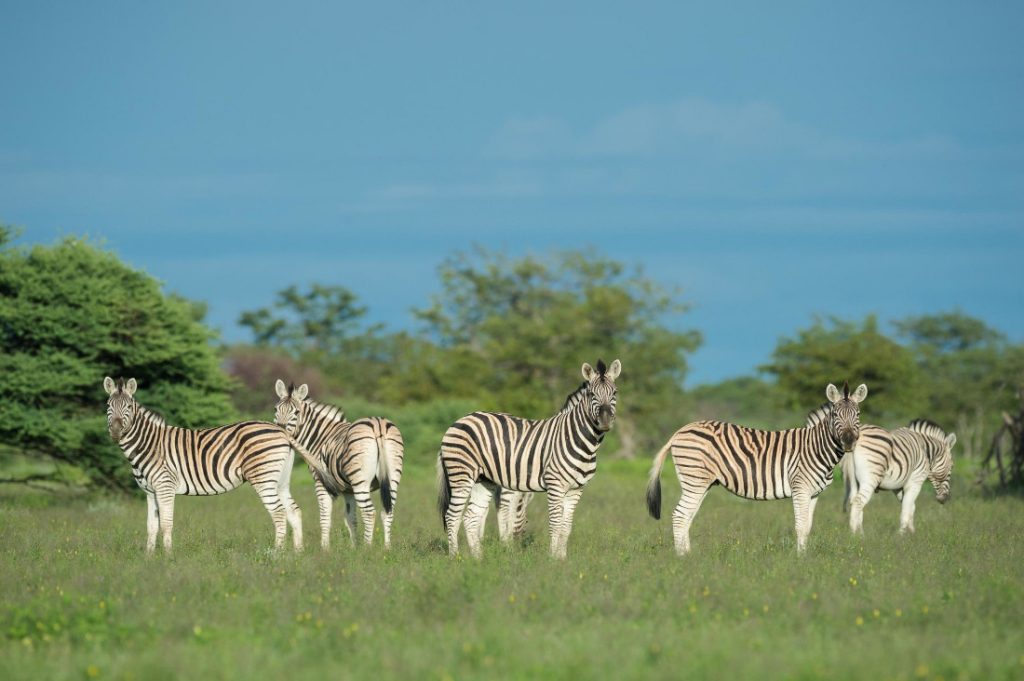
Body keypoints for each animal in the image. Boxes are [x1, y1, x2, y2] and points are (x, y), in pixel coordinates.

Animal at [103, 376, 339, 553]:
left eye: (129, 406)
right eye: (108, 406)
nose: (115, 431)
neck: (150, 444)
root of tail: (282, 431)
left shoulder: (165, 487)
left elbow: (166, 524)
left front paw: (168, 558)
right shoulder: (150, 492)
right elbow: (151, 526)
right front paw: (150, 558)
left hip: (263, 479)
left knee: (279, 513)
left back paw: (277, 556)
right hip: (280, 480)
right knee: (294, 511)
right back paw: (297, 554)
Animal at [273, 380, 405, 550]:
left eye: (296, 412)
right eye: (276, 409)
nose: (280, 430)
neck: (319, 437)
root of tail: (378, 425)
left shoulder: (321, 482)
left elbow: (325, 516)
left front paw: (325, 549)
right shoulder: (348, 490)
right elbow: (350, 518)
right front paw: (354, 547)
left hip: (361, 481)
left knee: (369, 512)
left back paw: (367, 549)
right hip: (393, 478)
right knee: (387, 512)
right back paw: (387, 548)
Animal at [437, 359, 621, 559]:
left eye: (614, 393)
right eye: (591, 393)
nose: (605, 421)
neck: (580, 442)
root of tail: (461, 419)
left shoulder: (576, 489)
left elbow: (566, 526)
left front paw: (562, 560)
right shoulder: (554, 485)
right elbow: (555, 523)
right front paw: (552, 559)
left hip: (483, 479)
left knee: (471, 516)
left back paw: (478, 559)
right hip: (461, 474)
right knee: (452, 516)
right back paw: (455, 558)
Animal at [646, 381, 868, 554]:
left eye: (857, 414)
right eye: (835, 414)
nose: (849, 441)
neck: (815, 447)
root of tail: (679, 431)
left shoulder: (814, 493)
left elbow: (807, 527)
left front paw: (805, 557)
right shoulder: (800, 488)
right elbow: (800, 526)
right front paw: (799, 560)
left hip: (701, 483)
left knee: (687, 516)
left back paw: (689, 555)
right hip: (694, 479)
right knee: (680, 515)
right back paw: (682, 558)